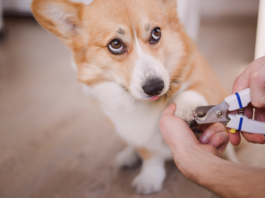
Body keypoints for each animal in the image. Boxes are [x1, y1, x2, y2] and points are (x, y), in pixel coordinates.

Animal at [31, 0, 235, 195]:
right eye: (115, 44)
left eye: (156, 33)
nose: (155, 87)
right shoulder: (136, 134)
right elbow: (150, 157)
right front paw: (150, 178)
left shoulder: (200, 79)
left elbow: (190, 91)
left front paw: (188, 107)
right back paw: (128, 155)